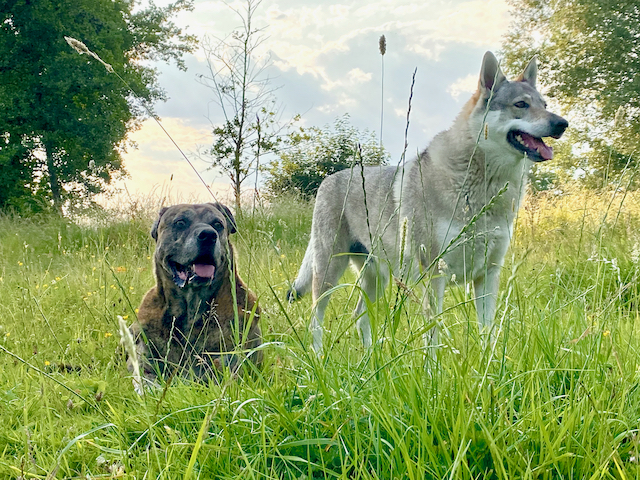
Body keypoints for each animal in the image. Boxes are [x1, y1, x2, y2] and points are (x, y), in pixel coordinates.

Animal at [288, 51, 568, 352]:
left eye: (545, 105)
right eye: (521, 105)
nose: (562, 124)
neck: (483, 188)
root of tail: (328, 179)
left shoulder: (488, 274)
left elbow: (487, 332)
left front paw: (487, 364)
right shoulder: (434, 274)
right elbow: (432, 337)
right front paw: (432, 364)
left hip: (376, 278)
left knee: (360, 316)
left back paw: (370, 357)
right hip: (328, 273)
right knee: (315, 319)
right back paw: (319, 358)